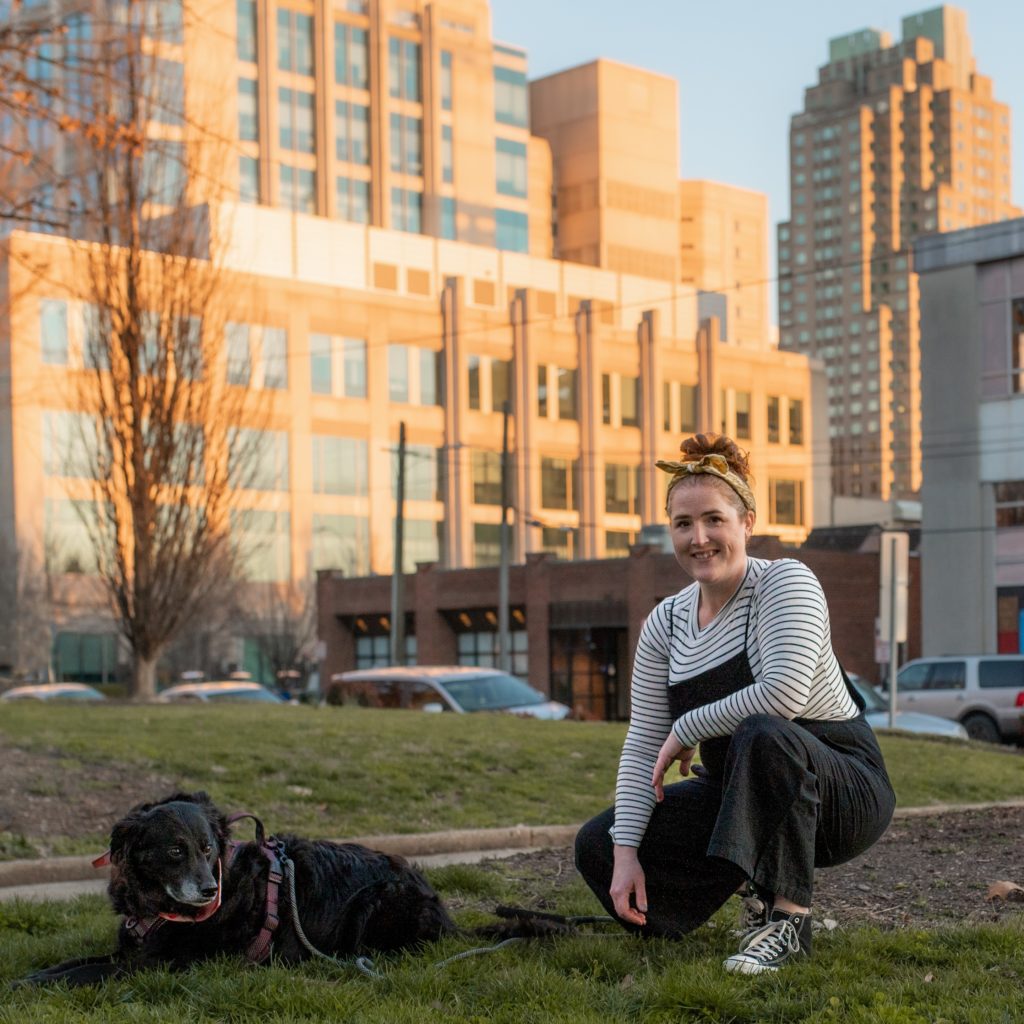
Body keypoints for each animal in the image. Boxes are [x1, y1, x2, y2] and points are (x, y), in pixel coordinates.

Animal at [22, 786, 544, 987]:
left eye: (208, 849)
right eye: (175, 851)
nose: (208, 891)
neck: (156, 906)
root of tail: (448, 919)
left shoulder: (153, 967)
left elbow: (84, 973)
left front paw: (28, 986)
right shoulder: (129, 952)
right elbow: (73, 962)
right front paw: (33, 973)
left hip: (376, 903)